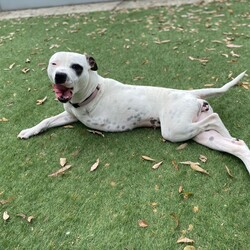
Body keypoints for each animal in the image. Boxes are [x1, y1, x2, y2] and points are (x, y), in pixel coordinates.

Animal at [18, 51, 250, 174]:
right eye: (54, 63)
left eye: (77, 66)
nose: (60, 76)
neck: (92, 89)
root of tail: (189, 93)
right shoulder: (70, 115)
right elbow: (46, 120)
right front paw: (29, 131)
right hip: (201, 135)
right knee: (236, 145)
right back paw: (239, 148)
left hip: (174, 130)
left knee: (214, 118)